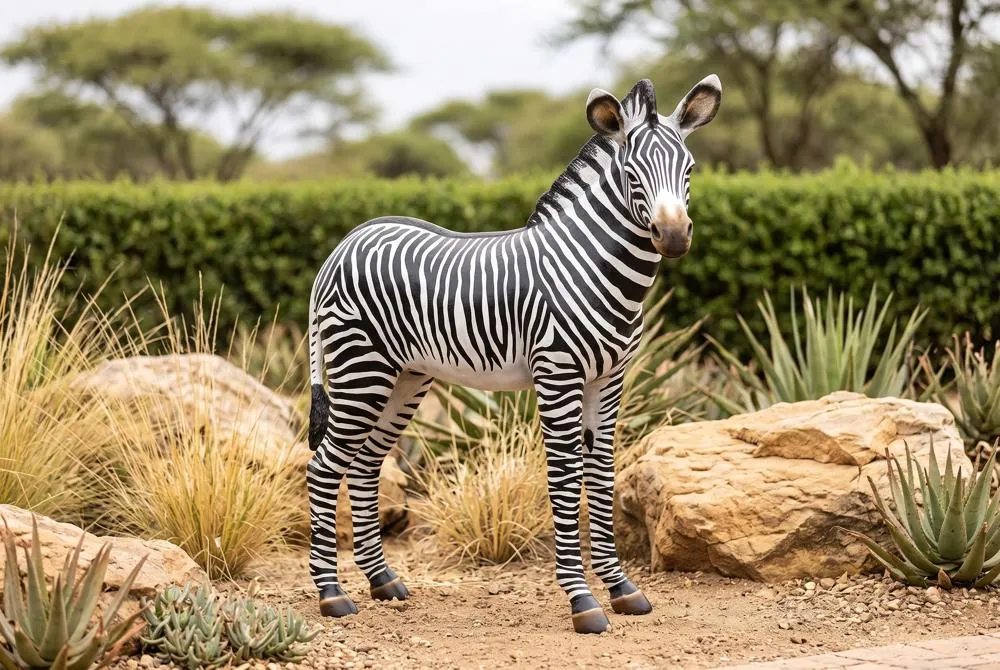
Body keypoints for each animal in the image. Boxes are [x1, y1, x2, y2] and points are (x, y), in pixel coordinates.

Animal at [306, 75, 721, 634]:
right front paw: (582, 600)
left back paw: (383, 582)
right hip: (361, 369)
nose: (673, 237)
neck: (594, 266)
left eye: (690, 169)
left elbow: (601, 473)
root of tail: (345, 242)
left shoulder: (609, 379)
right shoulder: (559, 374)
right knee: (325, 466)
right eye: (631, 172)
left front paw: (621, 588)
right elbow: (566, 475)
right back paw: (332, 594)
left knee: (367, 464)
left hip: (405, 377)